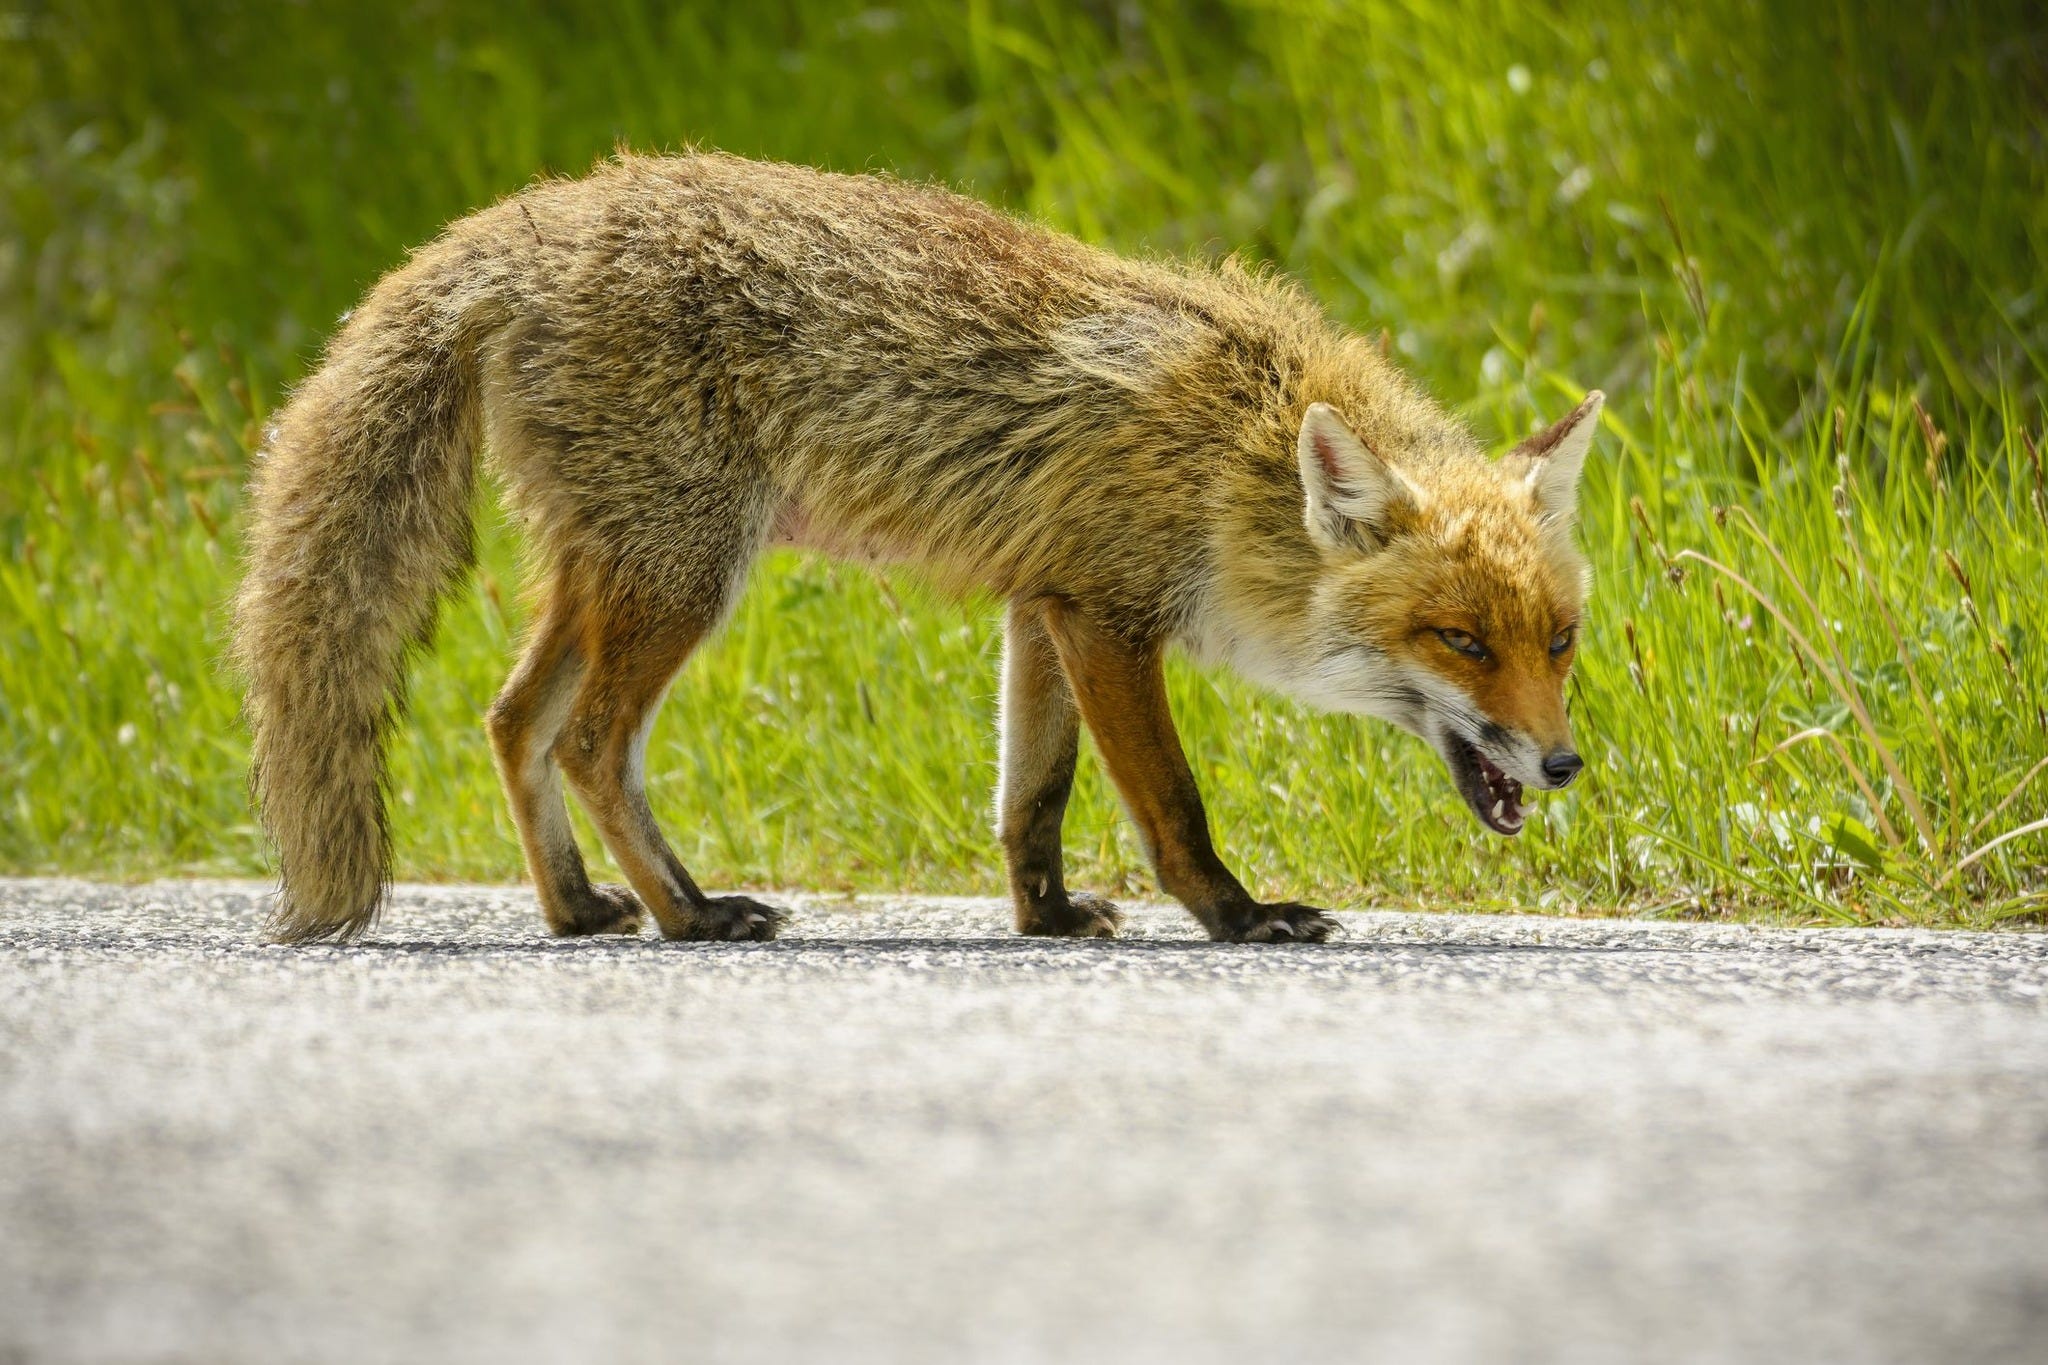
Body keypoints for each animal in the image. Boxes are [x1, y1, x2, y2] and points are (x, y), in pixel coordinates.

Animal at [233, 151, 1602, 947]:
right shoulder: (1108, 617)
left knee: (513, 721)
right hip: (683, 574)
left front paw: (1043, 918)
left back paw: (575, 911)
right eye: (1457, 641)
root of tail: (533, 218)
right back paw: (688, 915)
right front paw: (1234, 914)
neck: (1232, 455)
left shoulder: (1043, 606)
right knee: (586, 741)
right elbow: (1169, 799)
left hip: (615, 569)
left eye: (1557, 641)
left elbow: (1030, 798)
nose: (1562, 764)